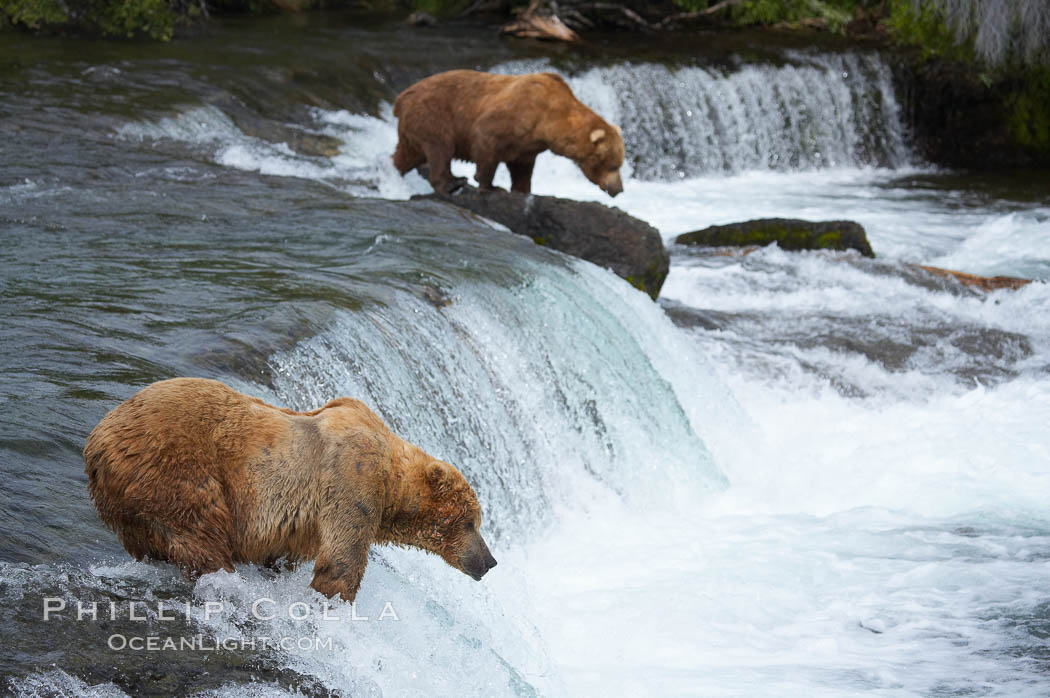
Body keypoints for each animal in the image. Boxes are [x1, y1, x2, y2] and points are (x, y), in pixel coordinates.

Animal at [82, 377, 495, 600]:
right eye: (470, 522)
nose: (489, 561)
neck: (393, 483)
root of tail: (96, 441)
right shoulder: (353, 479)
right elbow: (342, 557)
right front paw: (331, 598)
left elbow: (284, 554)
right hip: (174, 470)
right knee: (201, 531)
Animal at [392, 69, 621, 196]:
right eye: (613, 165)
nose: (618, 189)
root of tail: (400, 99)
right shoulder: (513, 115)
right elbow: (486, 144)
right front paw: (490, 186)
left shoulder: (527, 143)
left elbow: (522, 168)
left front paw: (522, 189)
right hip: (432, 115)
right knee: (440, 148)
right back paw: (452, 182)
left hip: (413, 129)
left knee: (407, 154)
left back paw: (394, 169)